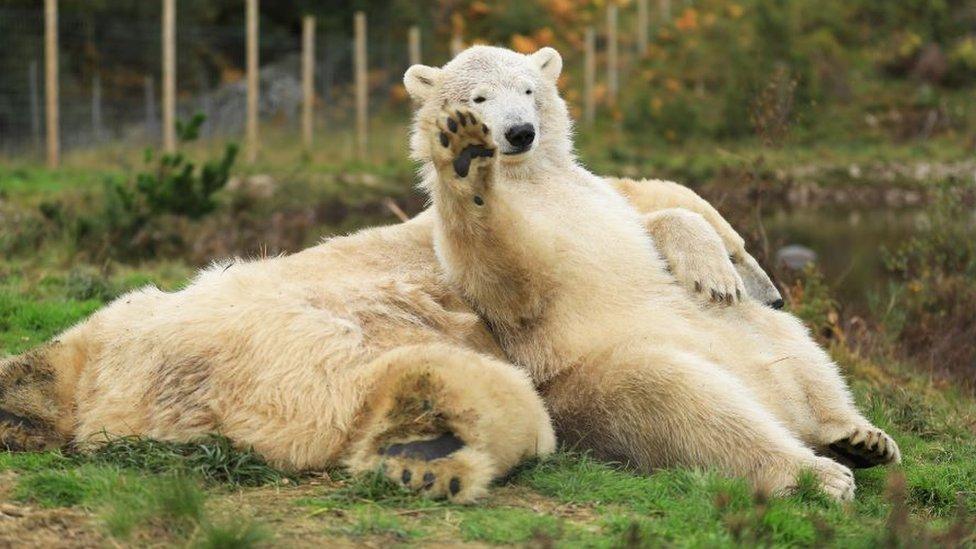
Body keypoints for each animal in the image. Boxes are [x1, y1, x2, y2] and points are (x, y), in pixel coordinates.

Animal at [410, 46, 900, 500]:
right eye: (479, 97)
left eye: (529, 90)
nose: (520, 132)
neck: (528, 177)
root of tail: (769, 401)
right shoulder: (504, 265)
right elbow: (506, 275)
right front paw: (466, 158)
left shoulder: (596, 194)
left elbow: (650, 223)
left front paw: (713, 274)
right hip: (594, 385)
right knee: (687, 404)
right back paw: (818, 474)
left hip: (743, 334)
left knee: (792, 345)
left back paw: (859, 437)